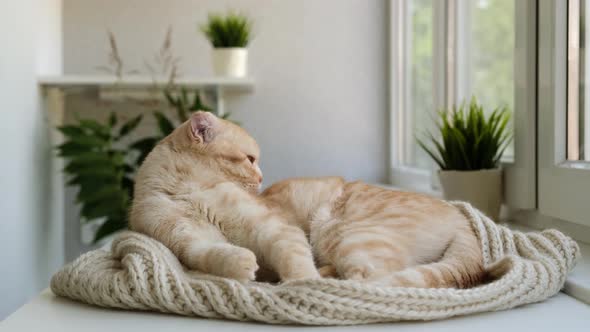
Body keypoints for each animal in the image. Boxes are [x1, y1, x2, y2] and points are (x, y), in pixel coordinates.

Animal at [132, 112, 488, 288]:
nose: (261, 178)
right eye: (250, 159)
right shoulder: (187, 239)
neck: (186, 189)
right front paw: (242, 264)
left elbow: (292, 257)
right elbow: (212, 255)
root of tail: (462, 217)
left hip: (343, 233)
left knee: (371, 282)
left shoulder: (272, 228)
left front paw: (301, 284)